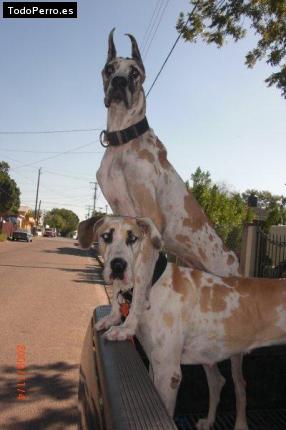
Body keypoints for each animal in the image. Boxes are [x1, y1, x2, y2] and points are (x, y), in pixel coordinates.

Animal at [78, 31, 246, 430]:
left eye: (136, 72)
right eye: (109, 68)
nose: (119, 83)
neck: (123, 141)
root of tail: (234, 256)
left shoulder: (149, 221)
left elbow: (138, 287)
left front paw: (126, 327)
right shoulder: (119, 213)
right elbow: (118, 281)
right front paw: (113, 317)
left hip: (236, 349)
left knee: (239, 384)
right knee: (216, 380)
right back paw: (207, 420)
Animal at [91, 217, 286, 430]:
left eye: (132, 238)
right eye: (106, 237)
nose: (118, 265)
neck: (153, 282)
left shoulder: (168, 373)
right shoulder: (155, 363)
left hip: (234, 358)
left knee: (240, 388)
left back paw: (240, 425)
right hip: (210, 354)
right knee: (217, 382)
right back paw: (209, 421)